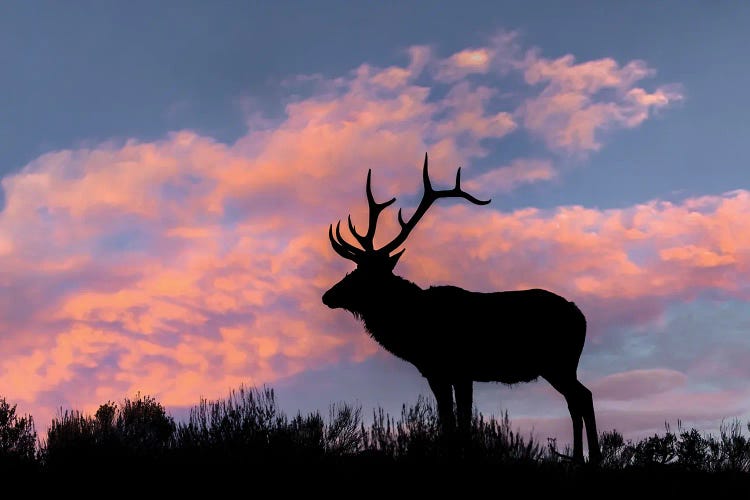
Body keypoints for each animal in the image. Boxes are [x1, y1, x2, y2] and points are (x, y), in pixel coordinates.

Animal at [324, 153, 604, 464]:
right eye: (353, 269)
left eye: (365, 274)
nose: (328, 296)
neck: (413, 331)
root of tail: (582, 317)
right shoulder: (437, 373)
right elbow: (448, 420)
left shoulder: (460, 369)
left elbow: (463, 422)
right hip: (560, 366)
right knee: (577, 399)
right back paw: (580, 457)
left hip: (559, 362)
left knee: (583, 397)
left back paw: (590, 458)